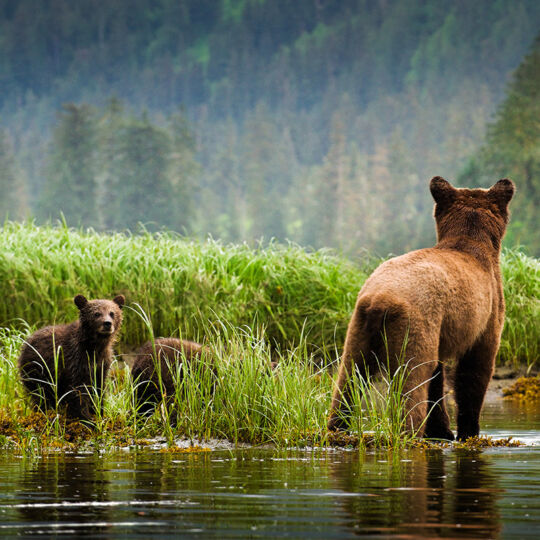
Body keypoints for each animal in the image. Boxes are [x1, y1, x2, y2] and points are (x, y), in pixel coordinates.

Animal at [326, 177, 516, 438]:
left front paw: (441, 430)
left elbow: (437, 376)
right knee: (412, 378)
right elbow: (475, 367)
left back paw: (338, 426)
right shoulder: (486, 310)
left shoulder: (442, 329)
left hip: (359, 327)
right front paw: (467, 430)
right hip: (416, 324)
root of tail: (380, 300)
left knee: (350, 375)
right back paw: (410, 431)